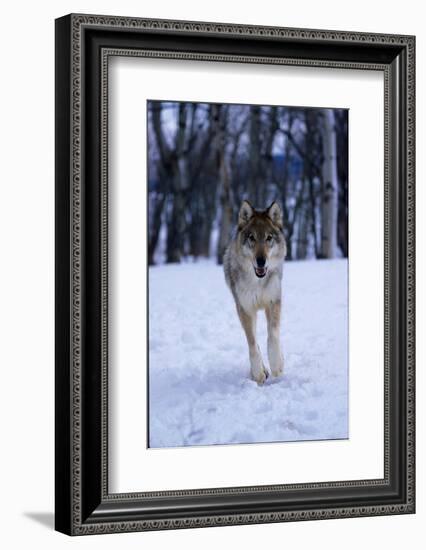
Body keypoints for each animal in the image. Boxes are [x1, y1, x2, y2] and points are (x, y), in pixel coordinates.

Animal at [223, 201, 286, 386]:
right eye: (252, 238)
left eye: (268, 238)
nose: (261, 261)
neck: (258, 282)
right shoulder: (245, 309)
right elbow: (252, 343)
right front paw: (258, 372)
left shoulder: (273, 302)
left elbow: (272, 336)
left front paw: (277, 364)